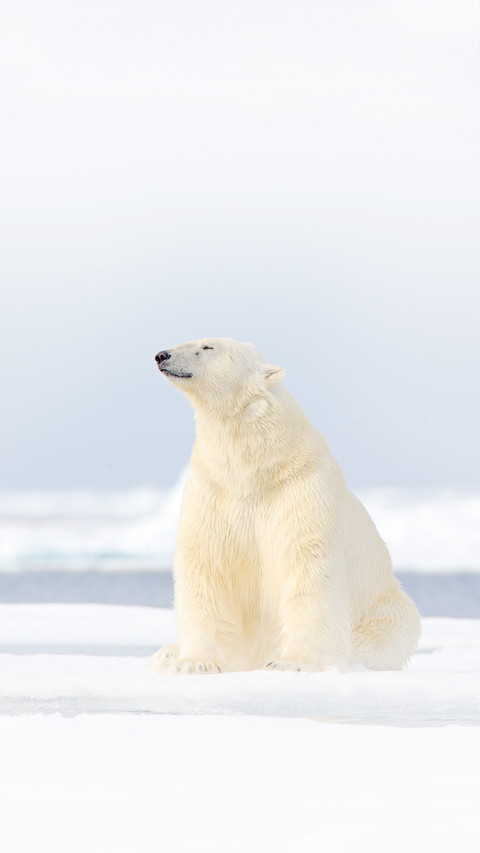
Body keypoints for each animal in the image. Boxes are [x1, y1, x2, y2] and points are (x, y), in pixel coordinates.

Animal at [151, 337, 420, 674]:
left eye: (209, 347)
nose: (162, 355)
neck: (254, 470)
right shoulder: (213, 488)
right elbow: (205, 561)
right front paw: (194, 662)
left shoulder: (301, 487)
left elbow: (308, 563)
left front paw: (292, 662)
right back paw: (167, 653)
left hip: (384, 606)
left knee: (389, 631)